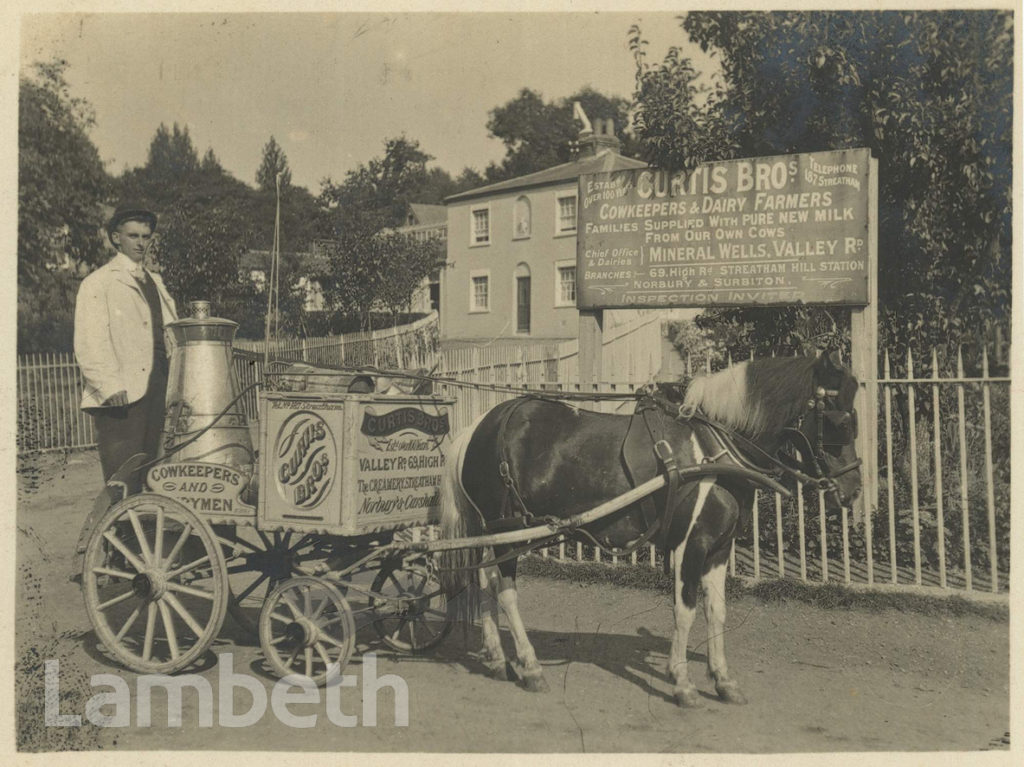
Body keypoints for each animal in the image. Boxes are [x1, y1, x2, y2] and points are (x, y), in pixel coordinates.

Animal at [436, 352, 860, 704]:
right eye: (841, 420)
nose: (853, 488)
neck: (714, 448)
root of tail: (479, 426)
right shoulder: (691, 544)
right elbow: (685, 609)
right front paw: (683, 682)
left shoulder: (719, 548)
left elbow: (717, 610)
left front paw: (723, 679)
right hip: (509, 529)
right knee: (506, 591)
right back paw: (530, 665)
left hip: (498, 532)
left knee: (487, 581)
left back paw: (497, 658)